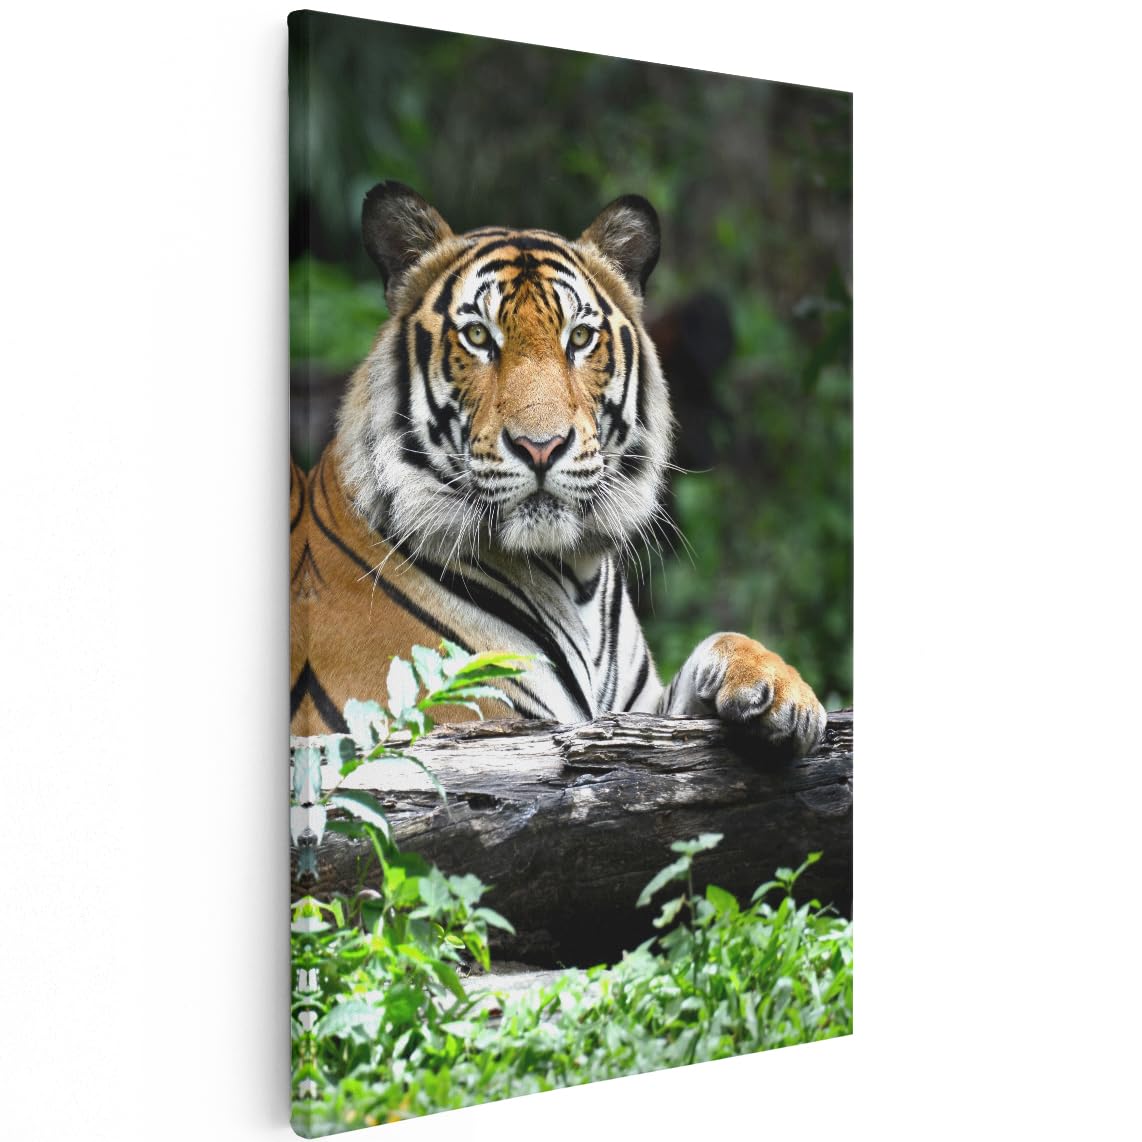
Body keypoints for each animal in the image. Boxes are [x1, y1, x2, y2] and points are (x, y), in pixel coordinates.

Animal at [290, 181, 827, 756]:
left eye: (581, 338)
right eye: (478, 337)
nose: (541, 447)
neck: (576, 575)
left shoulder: (636, 714)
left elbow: (721, 640)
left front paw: (781, 691)